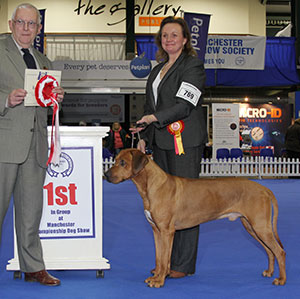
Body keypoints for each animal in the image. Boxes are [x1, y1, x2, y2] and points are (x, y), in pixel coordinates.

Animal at [105, 149, 286, 288]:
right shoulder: (156, 230)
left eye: (123, 162)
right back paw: (270, 272)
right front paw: (156, 276)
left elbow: (164, 259)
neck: (150, 186)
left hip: (260, 226)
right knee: (269, 251)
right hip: (251, 226)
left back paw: (281, 279)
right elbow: (159, 257)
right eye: (115, 160)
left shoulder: (166, 231)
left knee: (279, 251)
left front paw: (160, 280)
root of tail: (264, 188)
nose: (105, 174)